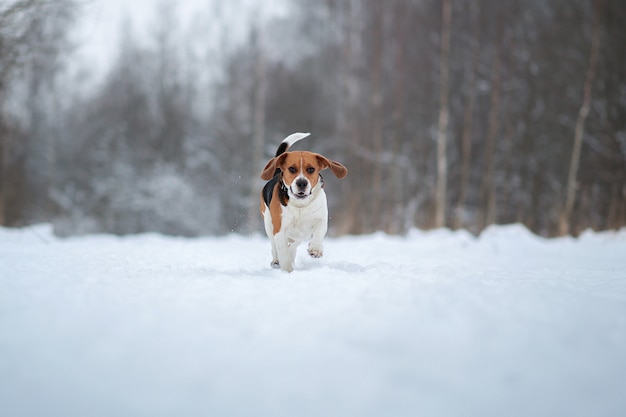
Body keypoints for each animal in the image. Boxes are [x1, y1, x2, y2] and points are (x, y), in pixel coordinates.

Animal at [258, 132, 346, 272]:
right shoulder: (279, 229)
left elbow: (319, 232)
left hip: (300, 234)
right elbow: (282, 252)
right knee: (275, 246)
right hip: (268, 223)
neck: (300, 205)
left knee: (294, 244)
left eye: (310, 169)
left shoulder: (321, 218)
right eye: (292, 169)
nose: (302, 183)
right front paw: (288, 271)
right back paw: (276, 260)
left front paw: (315, 249)